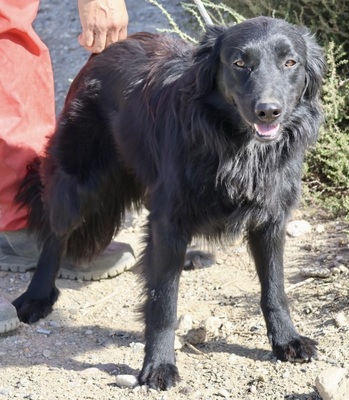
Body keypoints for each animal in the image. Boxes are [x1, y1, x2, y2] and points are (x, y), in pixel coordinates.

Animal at [12, 17, 324, 390]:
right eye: (239, 63)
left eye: (290, 63)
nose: (268, 110)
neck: (238, 148)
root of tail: (106, 49)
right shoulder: (170, 218)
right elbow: (163, 302)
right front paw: (158, 365)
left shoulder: (271, 219)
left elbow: (275, 289)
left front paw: (286, 339)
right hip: (79, 178)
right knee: (57, 233)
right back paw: (37, 296)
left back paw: (189, 256)